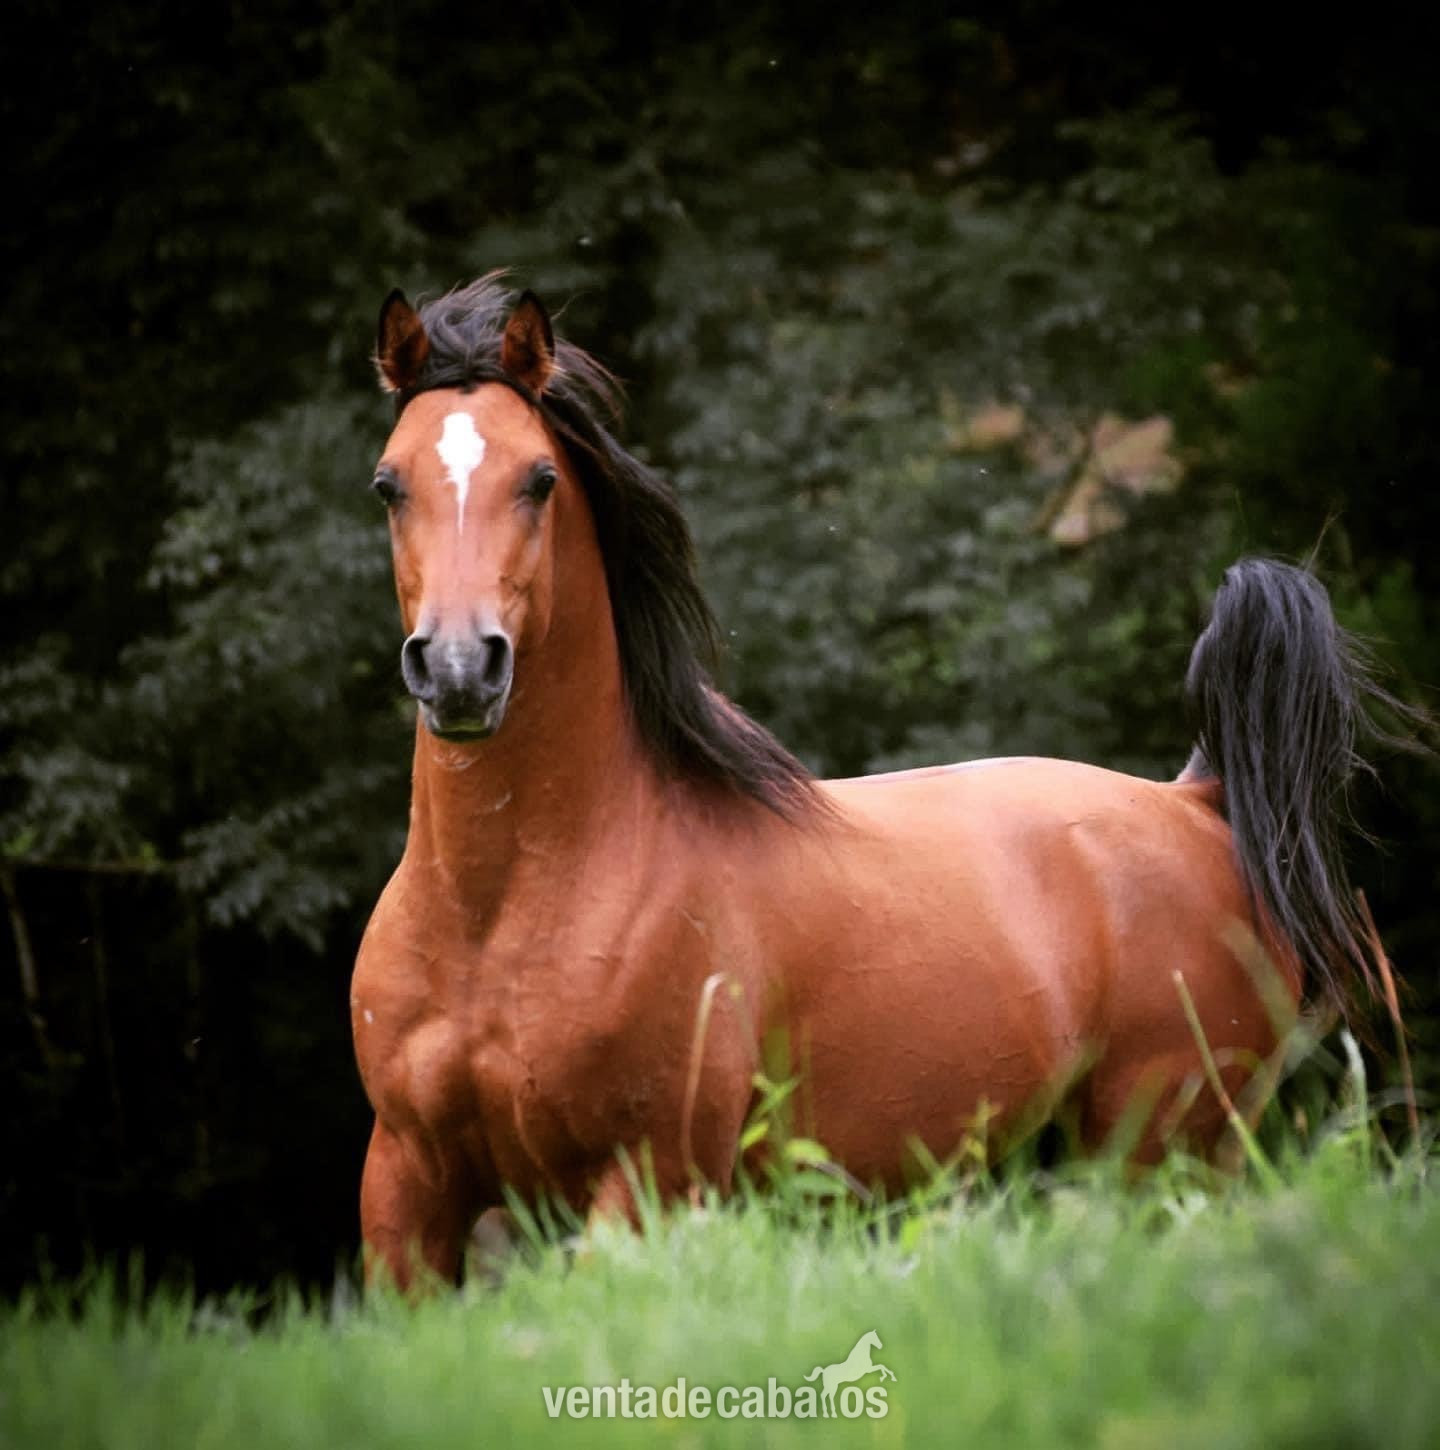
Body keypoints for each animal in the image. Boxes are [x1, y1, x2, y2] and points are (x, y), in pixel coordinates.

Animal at [351, 274, 1397, 1291]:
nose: (459, 668)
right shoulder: (408, 1182)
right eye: (388, 484)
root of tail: (1195, 802)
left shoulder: (647, 1184)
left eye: (538, 479)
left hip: (1162, 1147)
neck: (503, 913)